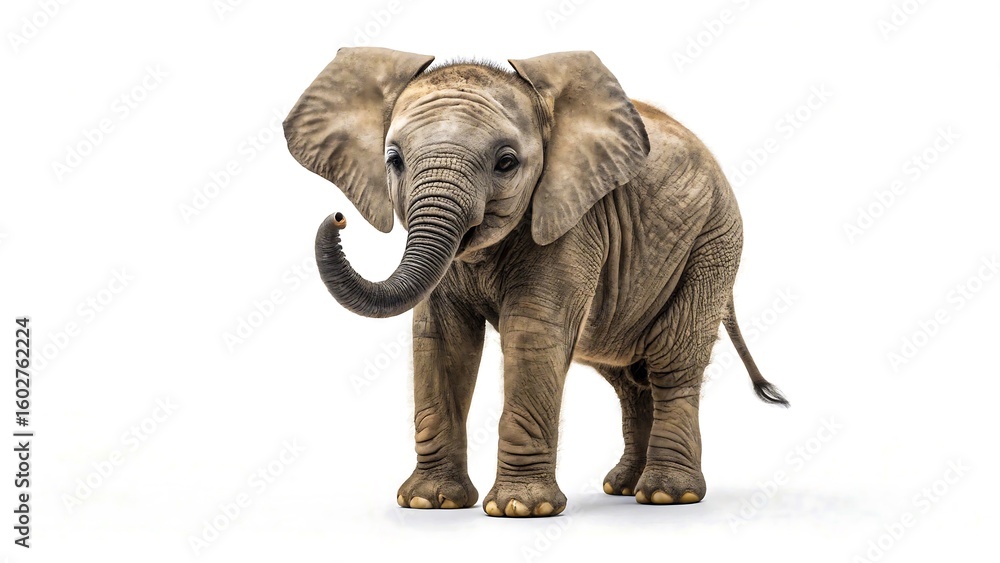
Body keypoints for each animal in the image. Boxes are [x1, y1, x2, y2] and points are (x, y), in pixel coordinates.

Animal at [283, 47, 788, 518]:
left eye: (506, 163)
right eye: (394, 160)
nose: (338, 217)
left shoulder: (574, 221)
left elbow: (533, 332)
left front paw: (520, 508)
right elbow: (441, 339)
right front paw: (430, 502)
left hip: (712, 242)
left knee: (671, 361)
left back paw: (667, 494)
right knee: (626, 375)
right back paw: (624, 487)